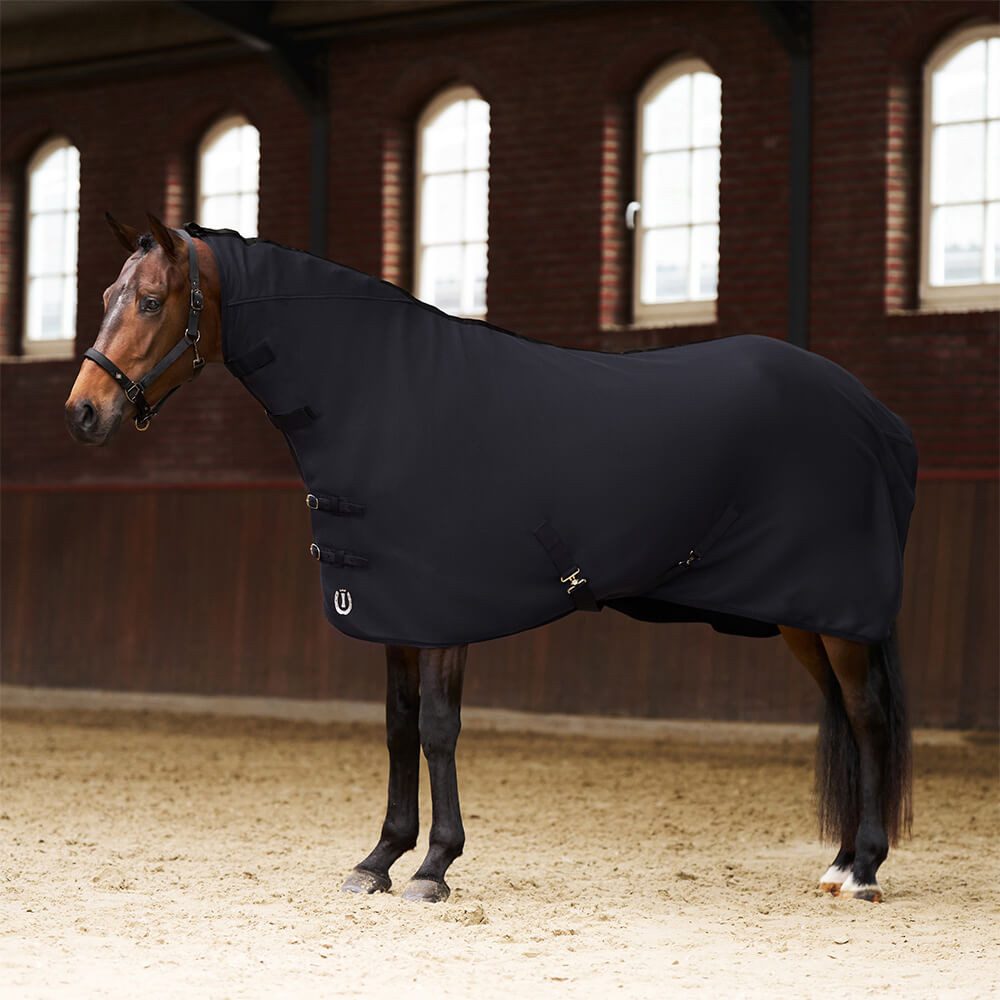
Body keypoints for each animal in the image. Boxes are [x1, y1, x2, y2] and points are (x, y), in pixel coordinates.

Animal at [65, 212, 913, 904]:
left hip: (838, 617)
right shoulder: (396, 616)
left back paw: (867, 869)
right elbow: (398, 727)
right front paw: (379, 859)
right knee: (843, 716)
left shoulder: (444, 616)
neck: (385, 394)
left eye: (150, 301)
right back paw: (839, 863)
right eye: (105, 292)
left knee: (867, 716)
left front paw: (435, 867)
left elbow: (439, 728)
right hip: (803, 617)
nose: (83, 413)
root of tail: (871, 411)